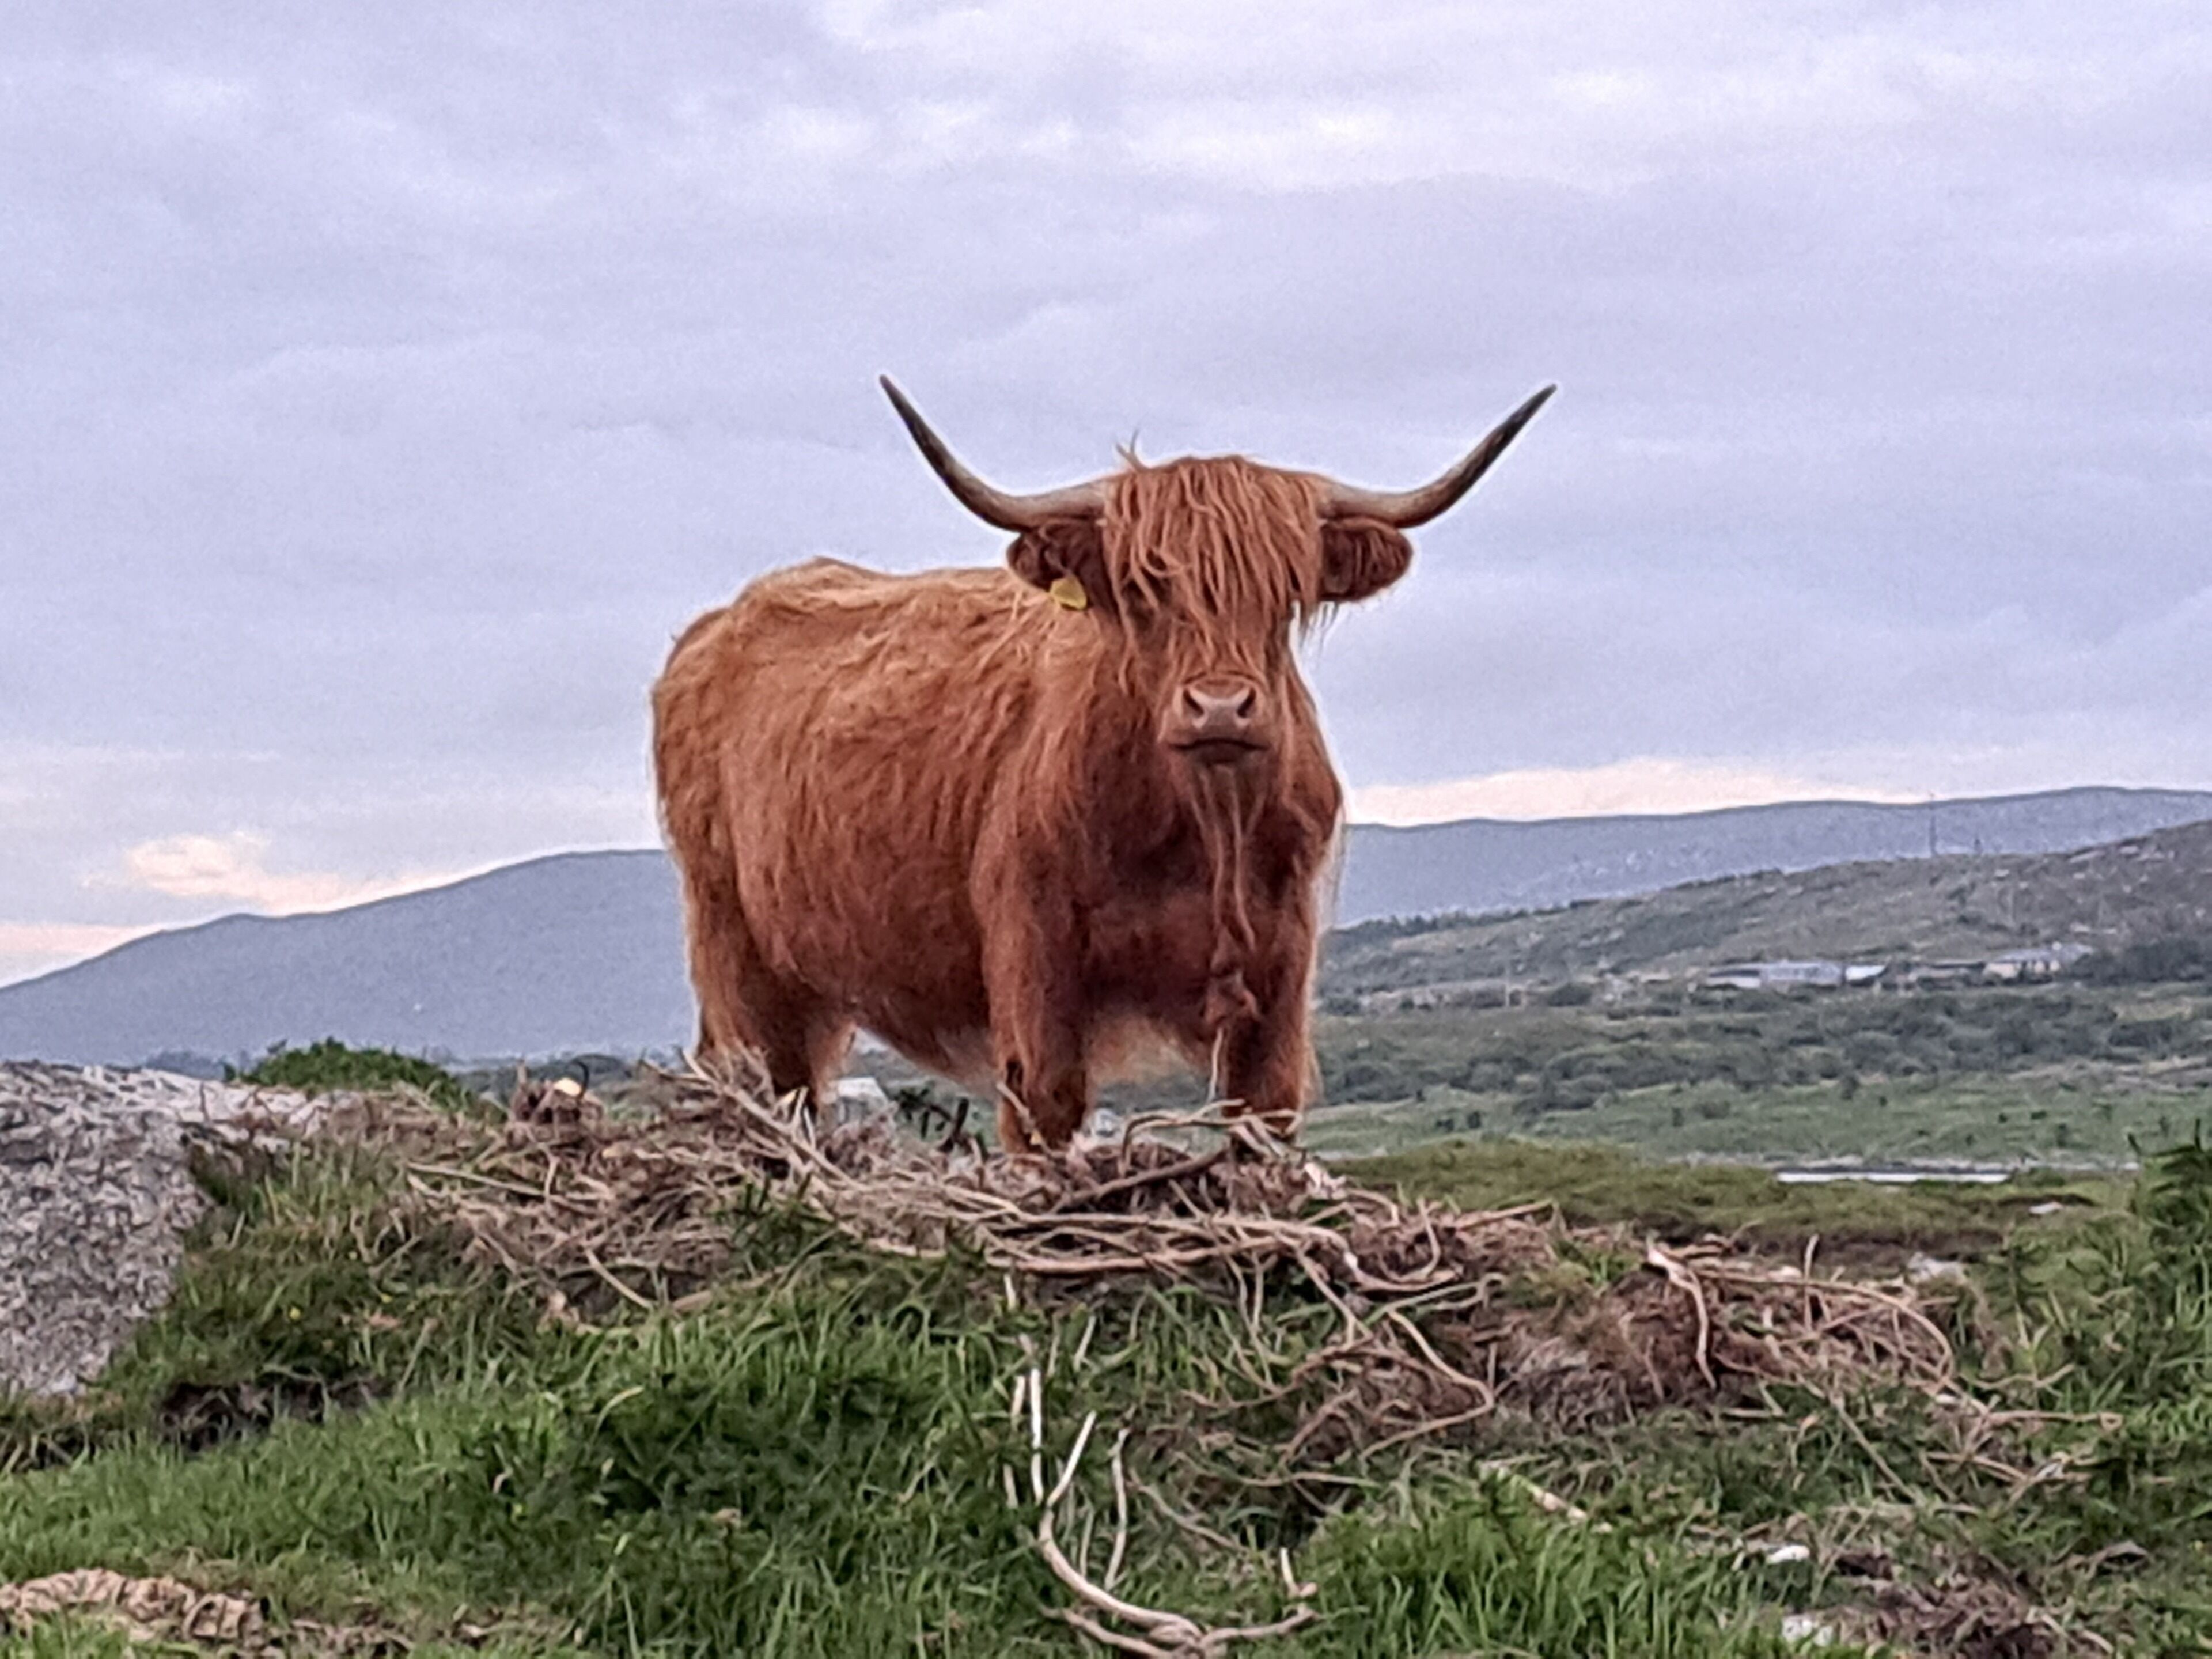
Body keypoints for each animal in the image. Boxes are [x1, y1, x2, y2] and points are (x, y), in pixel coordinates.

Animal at [652, 378, 1551, 1151]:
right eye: (1144, 589)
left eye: (1283, 591)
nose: (1219, 708)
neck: (1199, 826)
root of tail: (714, 629)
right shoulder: (1033, 951)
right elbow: (1046, 1108)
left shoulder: (1283, 965)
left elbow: (1263, 1115)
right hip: (733, 944)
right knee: (756, 1079)